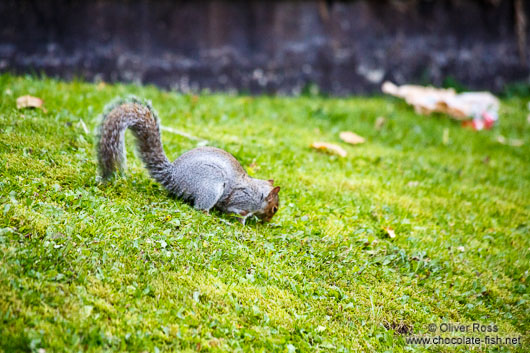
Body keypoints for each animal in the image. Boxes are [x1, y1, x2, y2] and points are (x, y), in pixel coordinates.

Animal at [95, 96, 278, 223]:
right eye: (275, 209)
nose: (268, 221)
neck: (258, 193)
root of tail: (173, 177)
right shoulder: (240, 199)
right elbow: (237, 211)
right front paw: (243, 222)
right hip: (211, 185)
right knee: (200, 208)